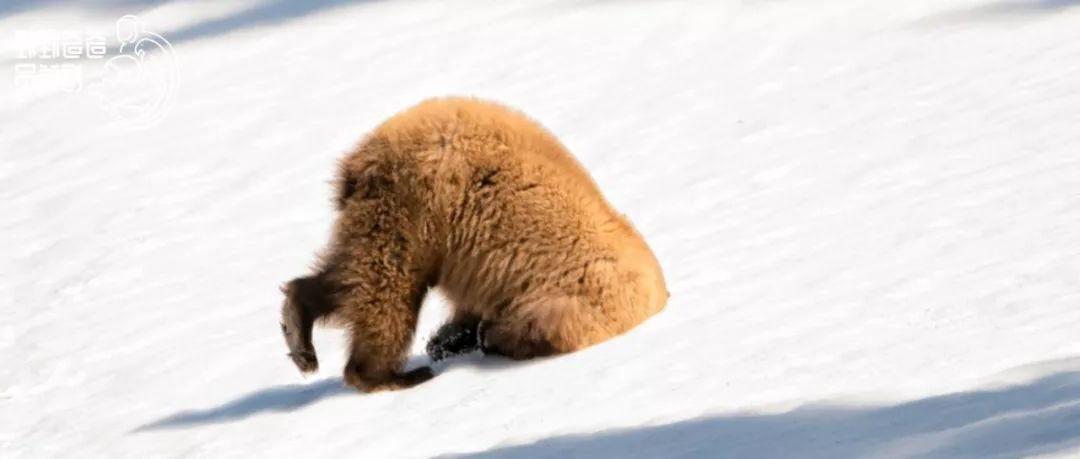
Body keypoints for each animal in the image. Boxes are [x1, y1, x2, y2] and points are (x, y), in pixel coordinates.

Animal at [278, 96, 665, 390]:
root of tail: (365, 156)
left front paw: (449, 340)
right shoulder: (578, 296)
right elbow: (538, 326)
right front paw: (482, 339)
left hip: (382, 213)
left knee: (352, 273)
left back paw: (300, 330)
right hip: (418, 208)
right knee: (388, 289)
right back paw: (390, 374)